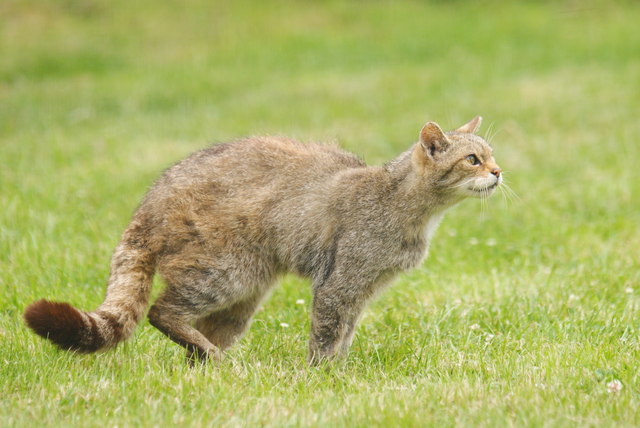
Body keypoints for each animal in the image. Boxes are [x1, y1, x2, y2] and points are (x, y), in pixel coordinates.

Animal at [23, 116, 500, 364]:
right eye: (472, 159)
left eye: (492, 155)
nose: (498, 172)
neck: (406, 208)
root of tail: (151, 200)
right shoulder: (339, 283)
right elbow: (327, 335)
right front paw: (322, 377)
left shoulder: (362, 290)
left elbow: (344, 335)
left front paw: (340, 372)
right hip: (225, 273)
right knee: (163, 312)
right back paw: (214, 359)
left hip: (243, 296)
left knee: (195, 337)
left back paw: (205, 365)